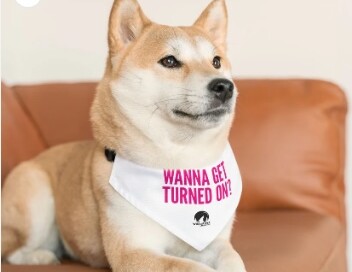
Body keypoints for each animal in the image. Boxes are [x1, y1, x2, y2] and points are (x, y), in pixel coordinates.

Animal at [1, 0, 246, 270]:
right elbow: (190, 266)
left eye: (216, 62)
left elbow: (232, 259)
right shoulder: (131, 252)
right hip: (36, 197)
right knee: (12, 250)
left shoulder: (213, 243)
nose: (225, 86)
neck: (181, 163)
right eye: (170, 61)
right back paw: (40, 256)